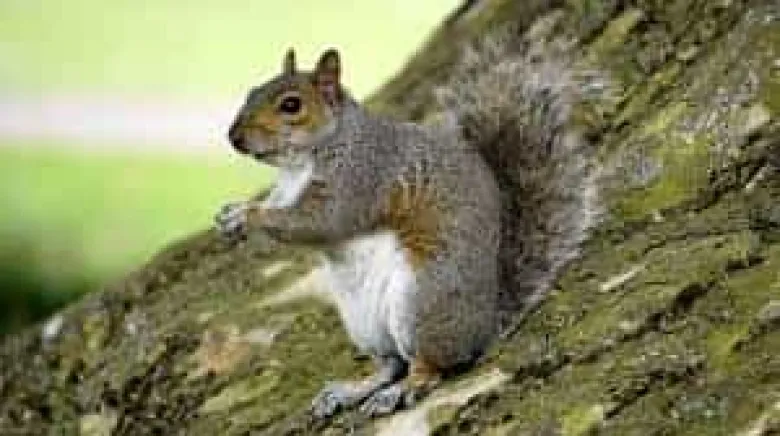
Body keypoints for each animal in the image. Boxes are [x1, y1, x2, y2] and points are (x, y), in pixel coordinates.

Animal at [215, 34, 602, 418]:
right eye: (251, 92)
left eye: (291, 105)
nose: (234, 137)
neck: (304, 161)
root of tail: (486, 324)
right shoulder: (286, 191)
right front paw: (232, 213)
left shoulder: (359, 179)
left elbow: (319, 222)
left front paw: (249, 216)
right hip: (365, 323)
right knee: (391, 364)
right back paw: (352, 390)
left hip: (421, 301)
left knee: (430, 365)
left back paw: (401, 391)